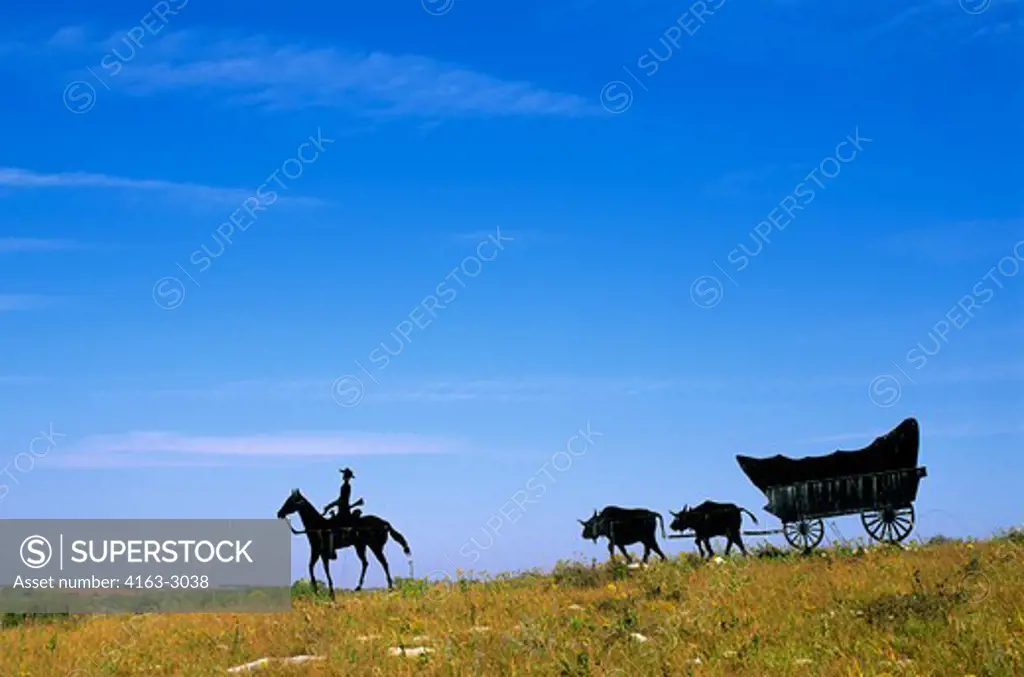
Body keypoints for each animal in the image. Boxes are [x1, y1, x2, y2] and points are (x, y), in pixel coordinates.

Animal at [280, 485, 411, 598]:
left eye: (290, 501)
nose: (279, 513)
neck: (317, 526)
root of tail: (385, 523)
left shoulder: (318, 551)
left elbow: (316, 568)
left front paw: (322, 591)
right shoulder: (320, 553)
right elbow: (317, 568)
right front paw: (324, 591)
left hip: (375, 546)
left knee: (384, 563)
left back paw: (390, 589)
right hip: (361, 546)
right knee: (366, 563)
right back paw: (358, 588)